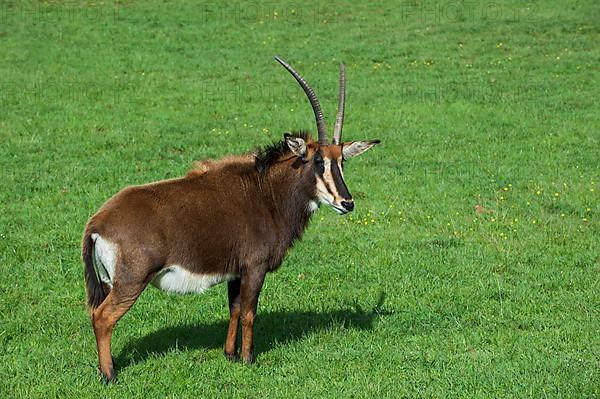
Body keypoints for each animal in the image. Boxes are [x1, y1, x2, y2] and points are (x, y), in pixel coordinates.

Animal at [81, 55, 380, 382]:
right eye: (317, 161)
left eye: (342, 161)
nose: (346, 203)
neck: (267, 193)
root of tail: (97, 223)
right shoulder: (255, 268)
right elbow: (249, 312)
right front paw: (249, 358)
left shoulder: (236, 272)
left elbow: (234, 309)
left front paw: (230, 355)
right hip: (131, 281)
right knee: (102, 317)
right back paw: (109, 374)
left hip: (110, 281)